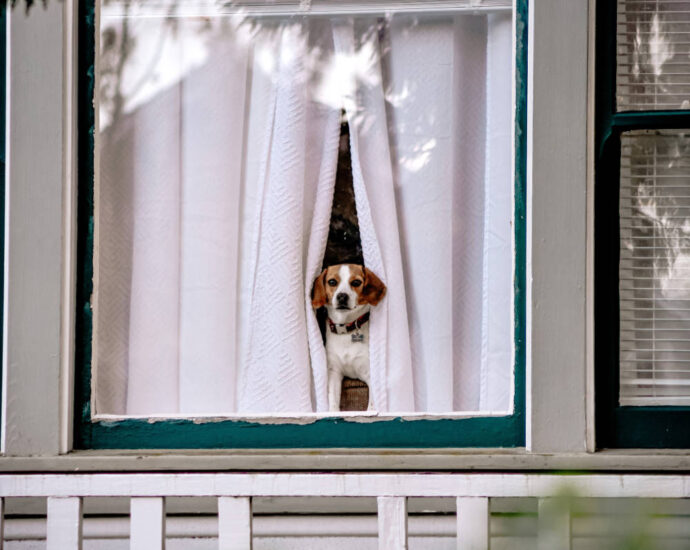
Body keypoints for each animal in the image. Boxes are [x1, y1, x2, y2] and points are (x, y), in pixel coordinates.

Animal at [310, 264, 384, 414]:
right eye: (332, 282)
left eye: (356, 282)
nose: (342, 296)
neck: (346, 330)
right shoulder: (334, 373)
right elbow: (333, 401)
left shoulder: (370, 374)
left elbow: (372, 405)